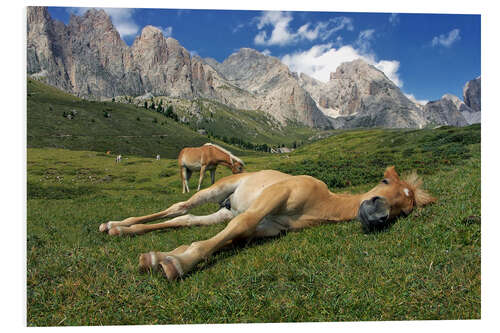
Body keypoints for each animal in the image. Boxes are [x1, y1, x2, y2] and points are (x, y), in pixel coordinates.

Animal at [99, 166, 436, 280]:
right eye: (384, 182)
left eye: (404, 209)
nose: (378, 217)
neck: (319, 203)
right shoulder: (272, 199)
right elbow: (235, 229)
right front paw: (176, 263)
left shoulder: (265, 229)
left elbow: (232, 237)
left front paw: (161, 257)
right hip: (217, 190)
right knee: (178, 207)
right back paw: (115, 224)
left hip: (223, 211)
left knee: (187, 219)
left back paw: (122, 229)